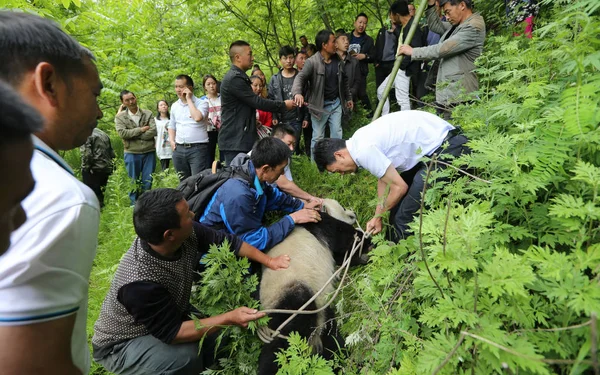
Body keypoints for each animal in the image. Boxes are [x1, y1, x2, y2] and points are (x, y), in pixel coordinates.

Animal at [258, 200, 370, 374]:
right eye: (344, 209)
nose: (354, 214)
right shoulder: (321, 225)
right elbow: (345, 239)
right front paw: (367, 241)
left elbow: (341, 256)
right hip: (291, 300)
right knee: (285, 342)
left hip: (319, 312)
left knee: (330, 338)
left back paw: (342, 361)